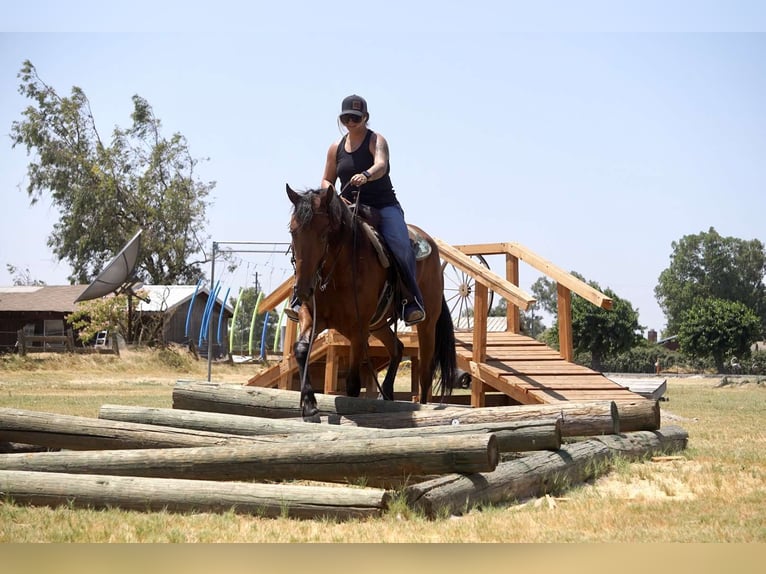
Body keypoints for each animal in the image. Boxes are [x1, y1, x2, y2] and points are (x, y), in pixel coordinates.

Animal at [286, 184, 456, 418]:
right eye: (293, 231)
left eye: (324, 234)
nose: (302, 289)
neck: (338, 272)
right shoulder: (313, 316)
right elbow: (302, 349)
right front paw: (309, 404)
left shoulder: (358, 329)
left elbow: (352, 384)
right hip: (378, 324)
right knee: (397, 348)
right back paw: (387, 393)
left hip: (427, 323)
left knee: (425, 371)